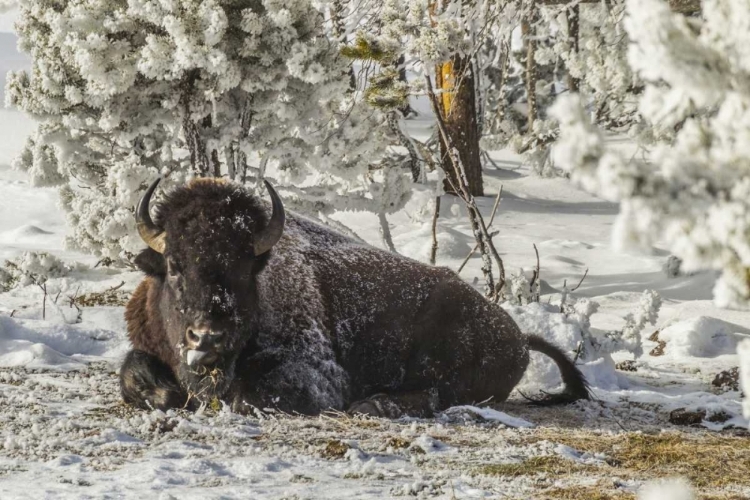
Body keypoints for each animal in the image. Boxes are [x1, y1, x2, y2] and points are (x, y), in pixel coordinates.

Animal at [122, 178, 592, 416]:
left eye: (244, 268)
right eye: (175, 265)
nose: (207, 338)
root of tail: (518, 335)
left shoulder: (319, 376)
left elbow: (249, 395)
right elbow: (132, 374)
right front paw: (165, 395)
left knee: (436, 394)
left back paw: (375, 405)